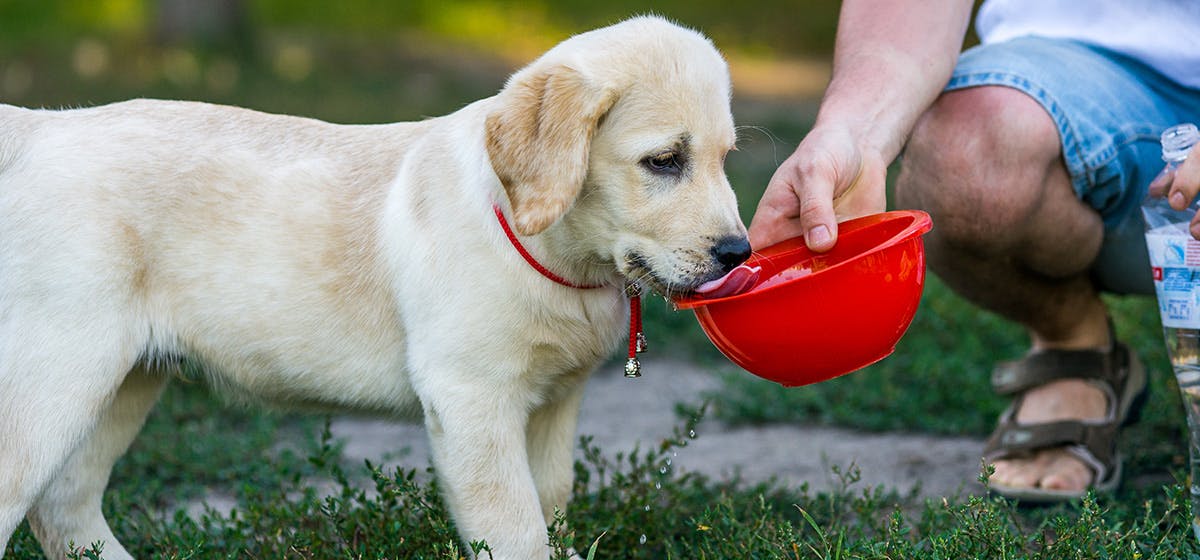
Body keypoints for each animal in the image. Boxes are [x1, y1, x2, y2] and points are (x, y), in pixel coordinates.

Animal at [0, 15, 744, 558]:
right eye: (663, 161)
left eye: (726, 158)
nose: (738, 252)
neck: (548, 248)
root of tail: (43, 126)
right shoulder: (471, 399)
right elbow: (517, 530)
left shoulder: (555, 404)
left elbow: (550, 508)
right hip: (57, 372)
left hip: (124, 379)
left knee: (64, 507)